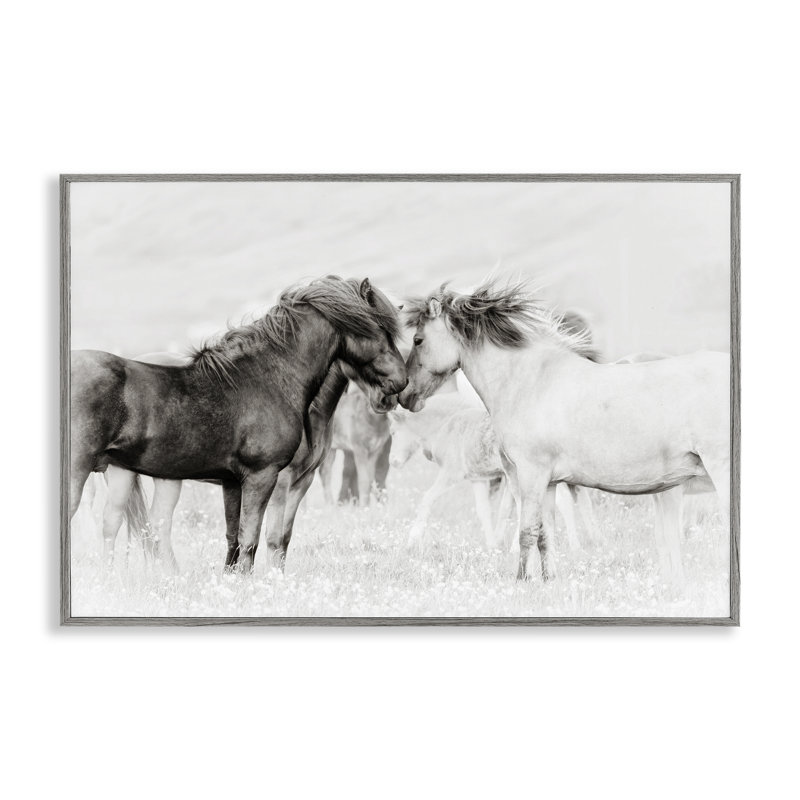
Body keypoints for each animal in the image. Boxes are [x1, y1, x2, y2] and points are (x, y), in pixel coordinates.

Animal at [70, 276, 407, 573]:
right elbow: (253, 540)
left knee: (127, 525)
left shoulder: (234, 482)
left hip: (129, 473)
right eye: (380, 328)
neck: (267, 378)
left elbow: (235, 540)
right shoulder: (265, 477)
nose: (400, 383)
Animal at [388, 378, 601, 550]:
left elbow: (427, 499)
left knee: (560, 503)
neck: (450, 422)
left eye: (392, 432)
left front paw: (412, 540)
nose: (393, 462)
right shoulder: (477, 479)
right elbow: (484, 510)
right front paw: (491, 545)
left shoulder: (451, 473)